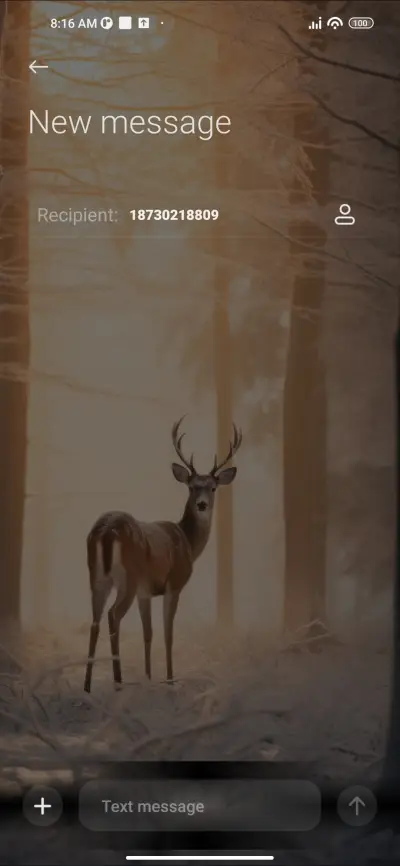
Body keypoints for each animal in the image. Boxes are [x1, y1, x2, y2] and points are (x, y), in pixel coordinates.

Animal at [83, 417, 242, 692]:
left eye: (212, 488)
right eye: (192, 487)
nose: (202, 504)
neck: (188, 542)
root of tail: (105, 531)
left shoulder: (145, 592)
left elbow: (148, 633)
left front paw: (149, 677)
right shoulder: (173, 584)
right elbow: (168, 634)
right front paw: (169, 679)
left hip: (97, 575)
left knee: (95, 620)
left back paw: (87, 686)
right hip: (128, 577)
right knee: (113, 615)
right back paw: (118, 681)